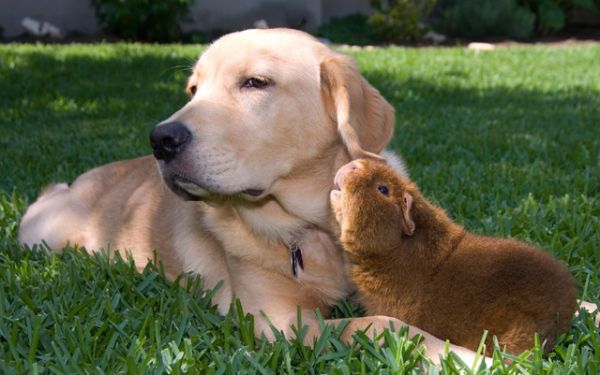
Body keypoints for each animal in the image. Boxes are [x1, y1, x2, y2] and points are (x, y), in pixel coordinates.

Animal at [19, 28, 584, 364]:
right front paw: (471, 357)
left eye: (255, 82)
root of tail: (67, 186)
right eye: (193, 91)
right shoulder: (277, 323)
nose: (161, 140)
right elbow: (383, 322)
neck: (319, 229)